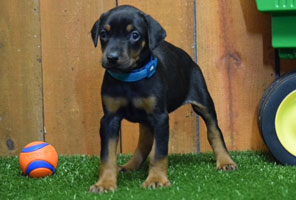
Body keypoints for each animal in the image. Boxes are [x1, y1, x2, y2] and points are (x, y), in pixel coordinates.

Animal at [89, 4, 237, 192]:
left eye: (134, 35)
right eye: (103, 33)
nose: (112, 58)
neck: (131, 78)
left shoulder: (160, 117)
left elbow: (159, 152)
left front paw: (156, 179)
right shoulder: (109, 118)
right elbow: (107, 155)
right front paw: (105, 183)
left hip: (203, 101)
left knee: (214, 131)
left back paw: (225, 161)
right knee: (145, 140)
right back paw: (130, 165)